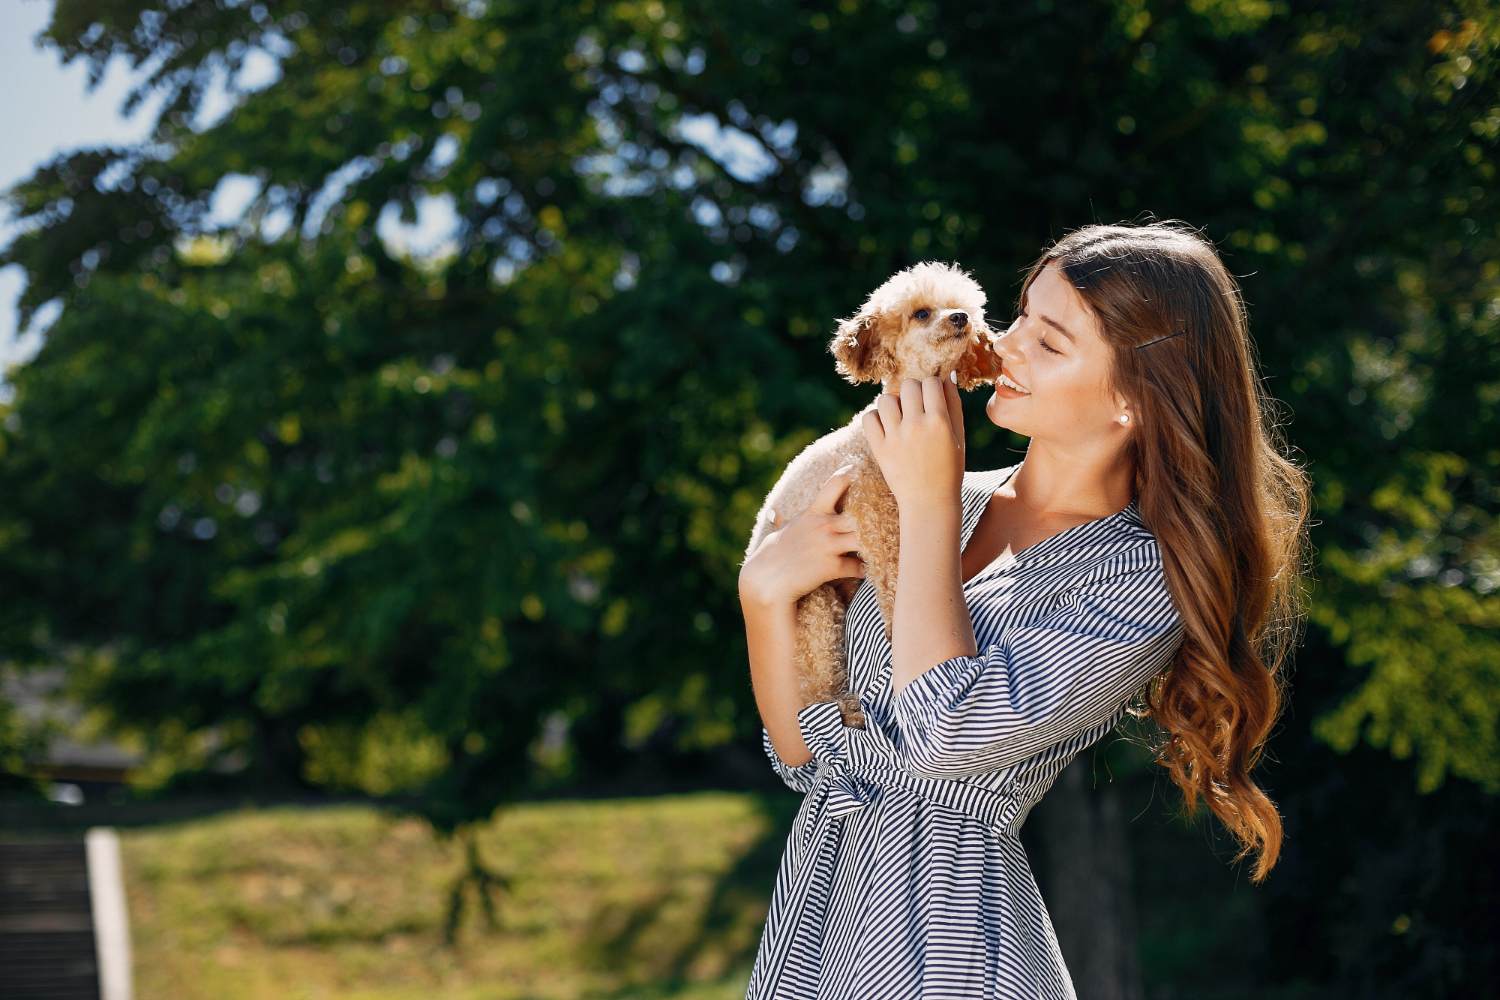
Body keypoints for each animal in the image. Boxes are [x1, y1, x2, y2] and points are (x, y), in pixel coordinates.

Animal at [744, 263, 1002, 728]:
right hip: (815, 608)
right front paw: (902, 633)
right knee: (814, 689)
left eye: (967, 308)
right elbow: (897, 585)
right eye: (921, 313)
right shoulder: (877, 521)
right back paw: (847, 708)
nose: (960, 319)